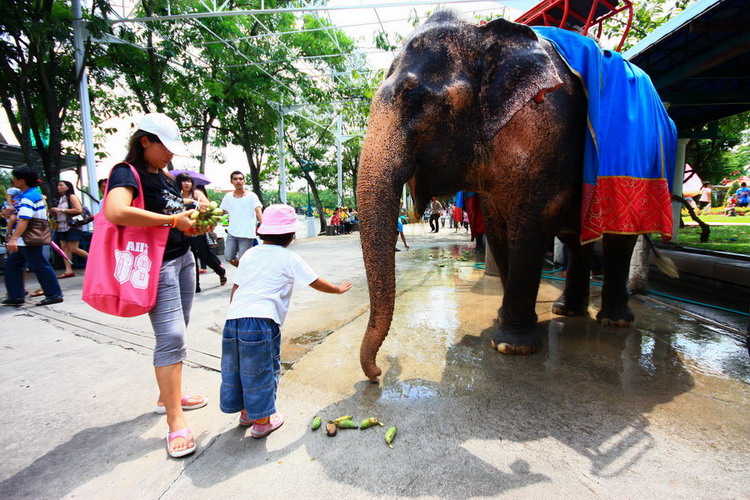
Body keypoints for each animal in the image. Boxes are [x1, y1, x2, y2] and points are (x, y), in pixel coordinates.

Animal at [358, 12, 656, 382]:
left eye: (417, 100)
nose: (378, 373)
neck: (484, 36)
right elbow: (497, 228)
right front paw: (502, 321)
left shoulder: (547, 131)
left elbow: (531, 224)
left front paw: (512, 346)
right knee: (577, 241)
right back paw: (567, 310)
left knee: (618, 239)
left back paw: (613, 321)